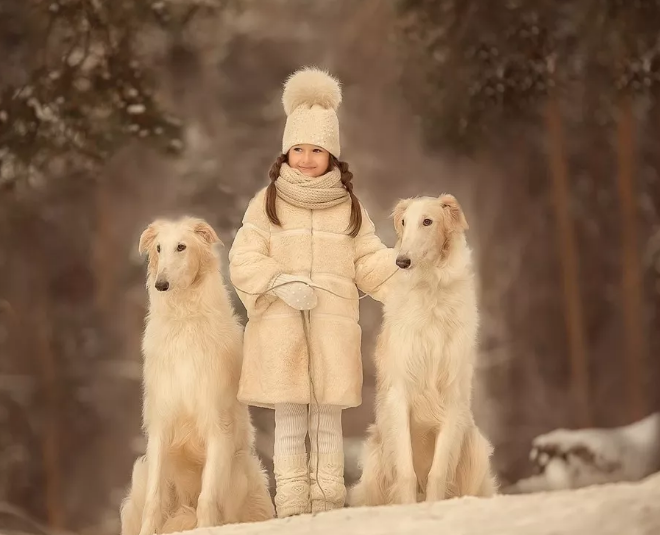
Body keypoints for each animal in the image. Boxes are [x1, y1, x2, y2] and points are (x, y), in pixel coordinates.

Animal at [120, 217, 274, 535]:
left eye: (182, 246)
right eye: (158, 248)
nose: (161, 284)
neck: (185, 321)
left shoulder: (217, 425)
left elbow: (208, 496)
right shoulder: (161, 425)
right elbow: (154, 501)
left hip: (242, 470)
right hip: (142, 471)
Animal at [350, 195, 496, 504]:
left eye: (427, 221)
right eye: (404, 222)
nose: (401, 261)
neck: (431, 291)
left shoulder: (453, 396)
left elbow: (437, 473)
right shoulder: (399, 394)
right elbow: (406, 472)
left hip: (474, 447)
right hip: (376, 459)